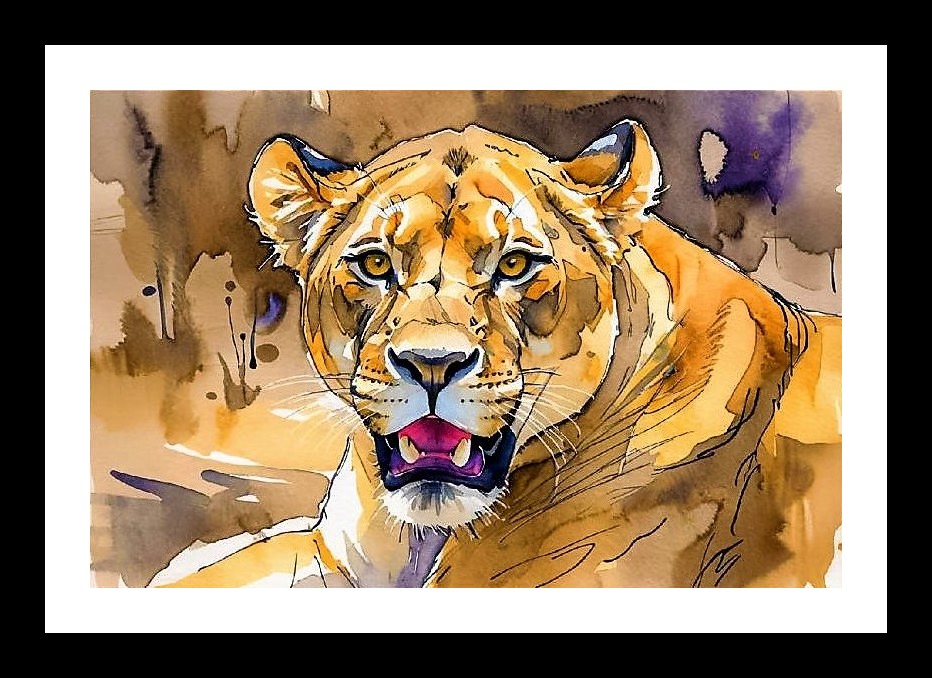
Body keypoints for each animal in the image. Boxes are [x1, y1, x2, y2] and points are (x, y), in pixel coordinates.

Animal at [149, 119, 841, 588]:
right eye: (375, 264)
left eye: (514, 265)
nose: (432, 364)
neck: (415, 539)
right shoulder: (332, 557)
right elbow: (209, 566)